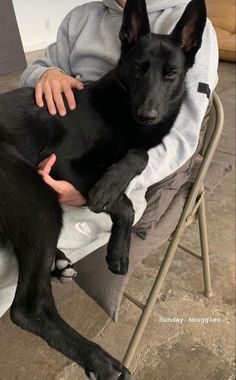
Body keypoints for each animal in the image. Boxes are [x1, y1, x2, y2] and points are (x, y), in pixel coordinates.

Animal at [0, 0, 206, 378]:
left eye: (171, 73)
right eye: (138, 68)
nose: (148, 115)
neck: (122, 107)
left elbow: (139, 154)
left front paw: (114, 184)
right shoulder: (64, 164)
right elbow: (123, 202)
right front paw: (117, 243)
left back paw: (58, 263)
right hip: (38, 197)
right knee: (29, 308)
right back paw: (100, 360)